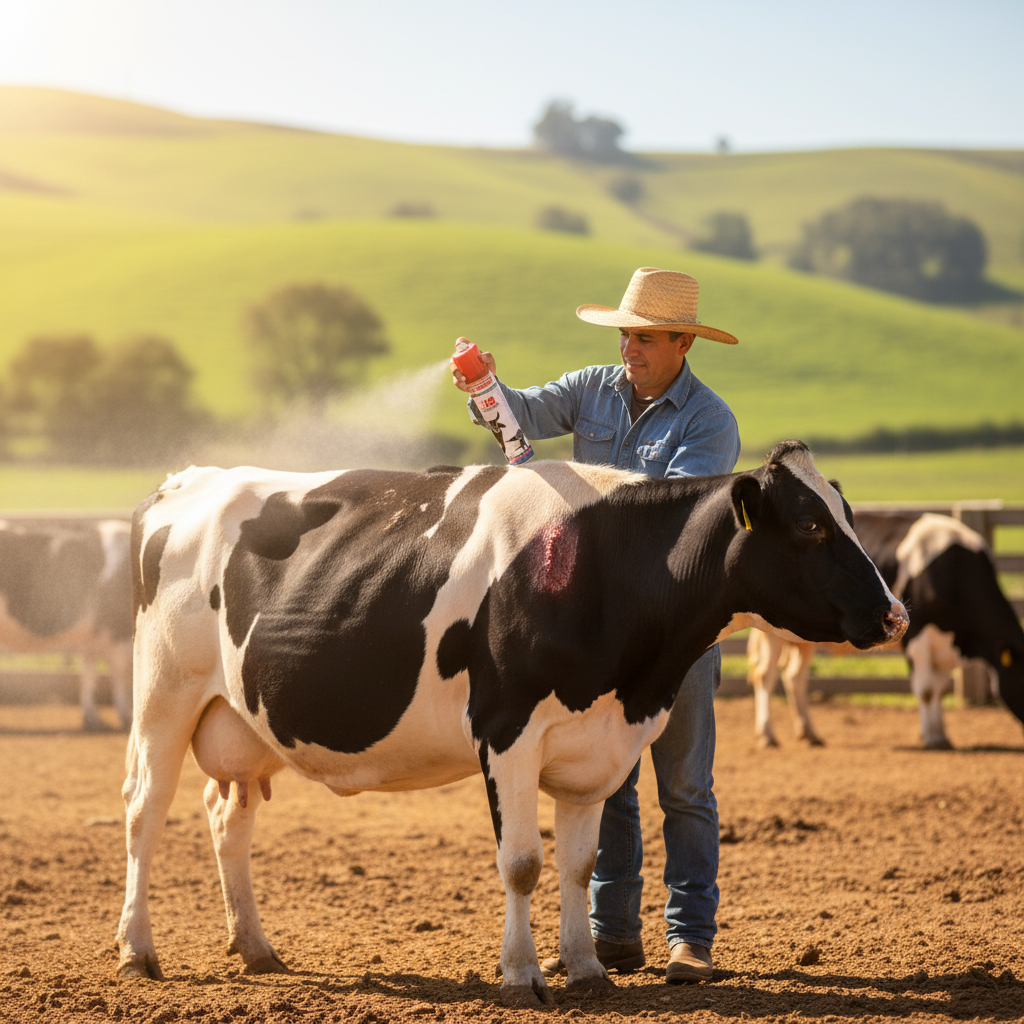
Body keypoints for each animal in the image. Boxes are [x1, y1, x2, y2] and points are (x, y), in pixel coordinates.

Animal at [0, 518, 133, 730]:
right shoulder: (117, 632)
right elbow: (120, 678)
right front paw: (127, 718)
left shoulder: (92, 638)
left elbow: (89, 675)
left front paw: (93, 719)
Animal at [117, 441, 907, 1007]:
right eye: (809, 525)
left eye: (848, 516)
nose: (894, 614)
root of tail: (188, 480)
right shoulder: (506, 732)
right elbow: (523, 863)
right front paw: (523, 975)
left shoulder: (599, 745)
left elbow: (581, 862)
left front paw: (587, 969)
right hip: (163, 694)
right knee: (145, 812)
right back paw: (136, 950)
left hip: (243, 719)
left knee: (228, 815)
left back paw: (254, 947)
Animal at [747, 511, 1024, 749]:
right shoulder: (918, 635)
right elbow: (926, 689)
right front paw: (932, 738)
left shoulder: (944, 643)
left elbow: (940, 688)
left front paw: (940, 734)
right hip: (770, 632)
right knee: (766, 676)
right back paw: (767, 735)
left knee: (794, 677)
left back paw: (810, 733)